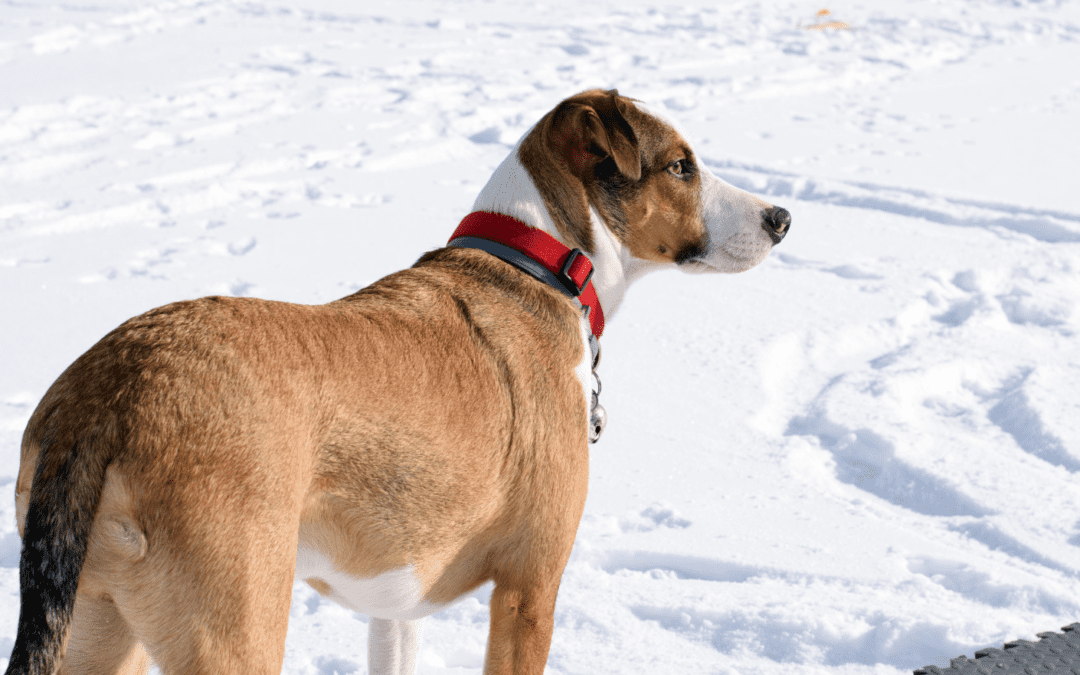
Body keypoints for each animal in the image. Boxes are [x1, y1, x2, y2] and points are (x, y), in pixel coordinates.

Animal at [6, 89, 786, 673]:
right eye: (680, 166)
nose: (781, 217)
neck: (537, 264)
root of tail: (106, 396)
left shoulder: (397, 608)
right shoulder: (529, 589)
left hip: (96, 626)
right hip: (231, 628)